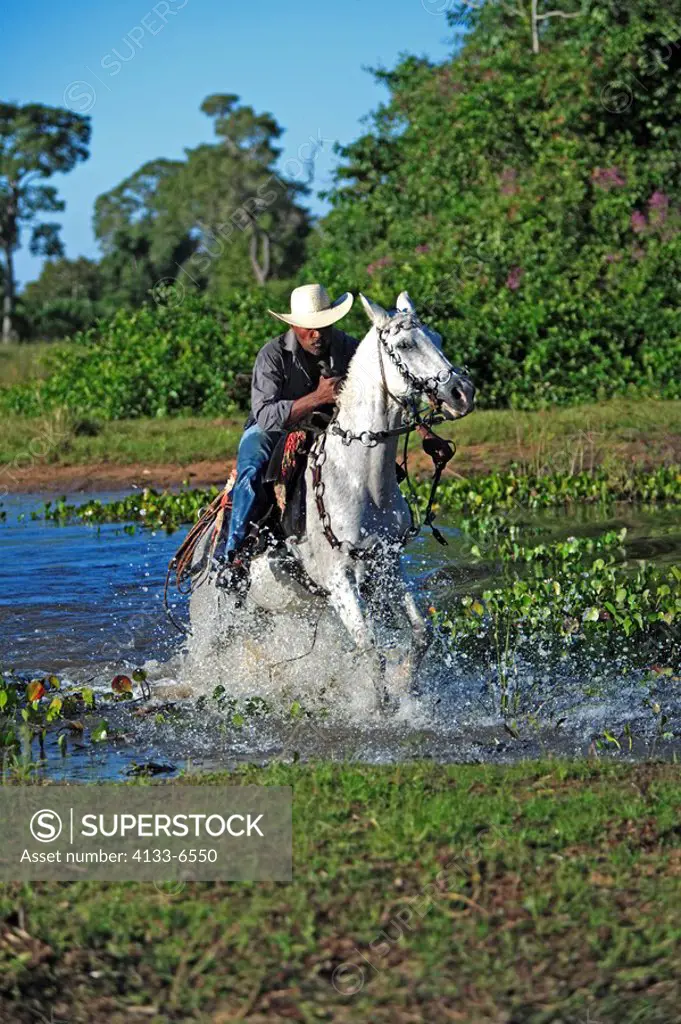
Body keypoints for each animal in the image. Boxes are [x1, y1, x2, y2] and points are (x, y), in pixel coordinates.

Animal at [186, 292, 473, 712]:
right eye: (406, 344)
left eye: (436, 338)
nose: (462, 393)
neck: (359, 481)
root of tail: (202, 546)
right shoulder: (339, 580)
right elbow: (369, 647)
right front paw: (379, 706)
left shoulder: (387, 566)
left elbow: (421, 633)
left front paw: (405, 685)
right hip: (213, 621)